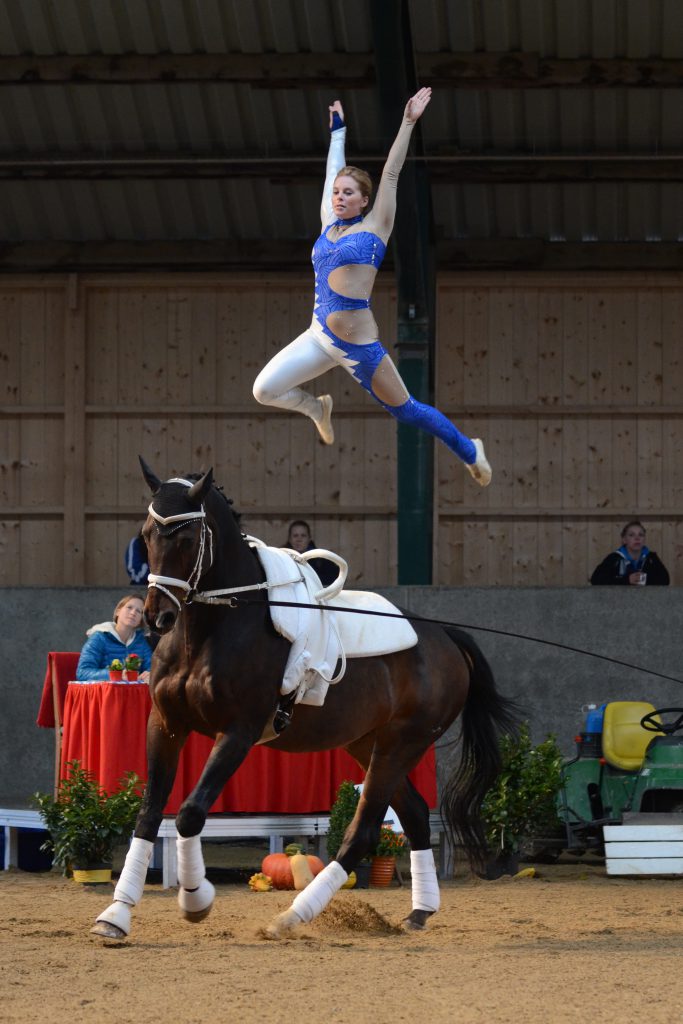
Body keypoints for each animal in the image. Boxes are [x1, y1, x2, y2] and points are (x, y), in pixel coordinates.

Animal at [92, 464, 518, 942]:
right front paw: (115, 915)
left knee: (365, 830)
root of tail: (445, 637)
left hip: (402, 743)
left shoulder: (238, 732)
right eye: (146, 535)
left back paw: (291, 916)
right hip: (367, 742)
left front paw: (196, 900)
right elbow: (149, 814)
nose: (157, 617)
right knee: (412, 813)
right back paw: (419, 911)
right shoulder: (166, 723)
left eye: (186, 538)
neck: (207, 632)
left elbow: (189, 814)